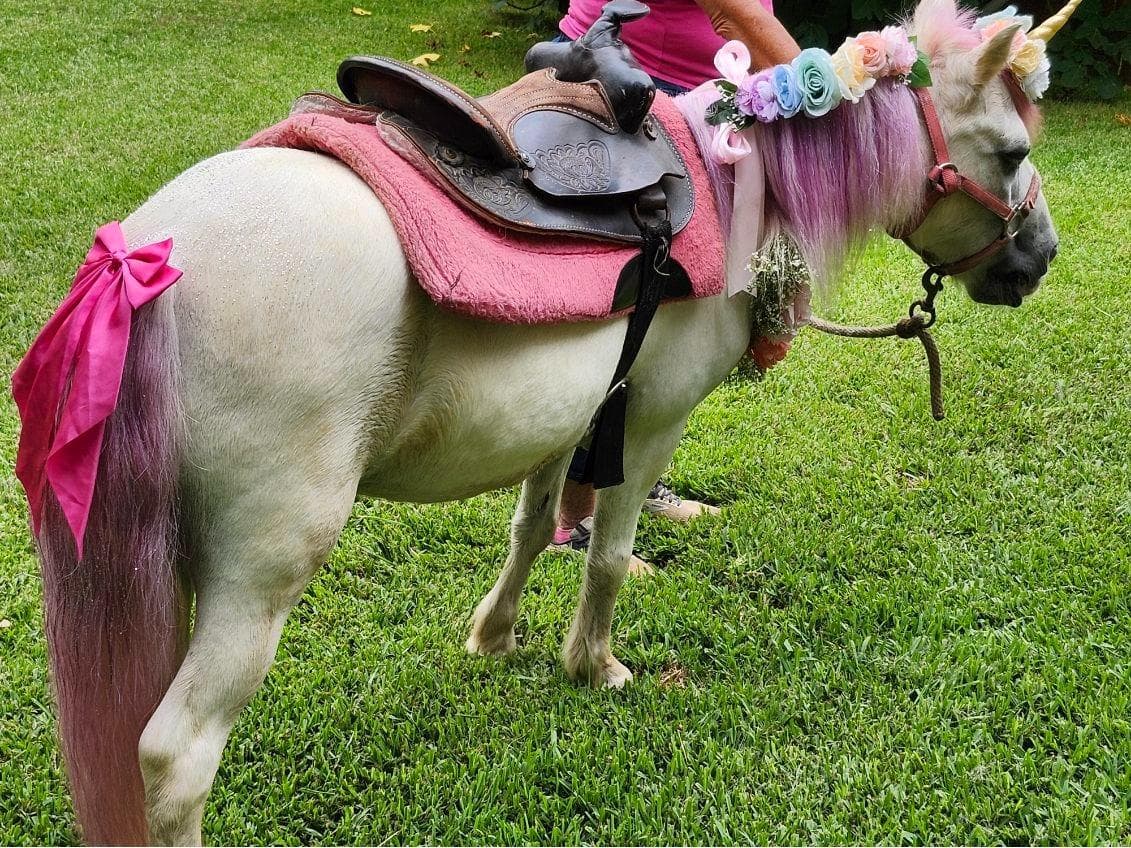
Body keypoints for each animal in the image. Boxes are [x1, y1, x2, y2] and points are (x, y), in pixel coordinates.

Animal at [22, 0, 1065, 842]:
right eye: (1012, 153)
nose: (1038, 261)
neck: (735, 178)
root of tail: (145, 257)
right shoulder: (651, 418)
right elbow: (605, 552)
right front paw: (591, 665)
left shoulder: (574, 413)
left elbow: (530, 526)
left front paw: (495, 636)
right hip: (260, 571)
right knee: (174, 758)